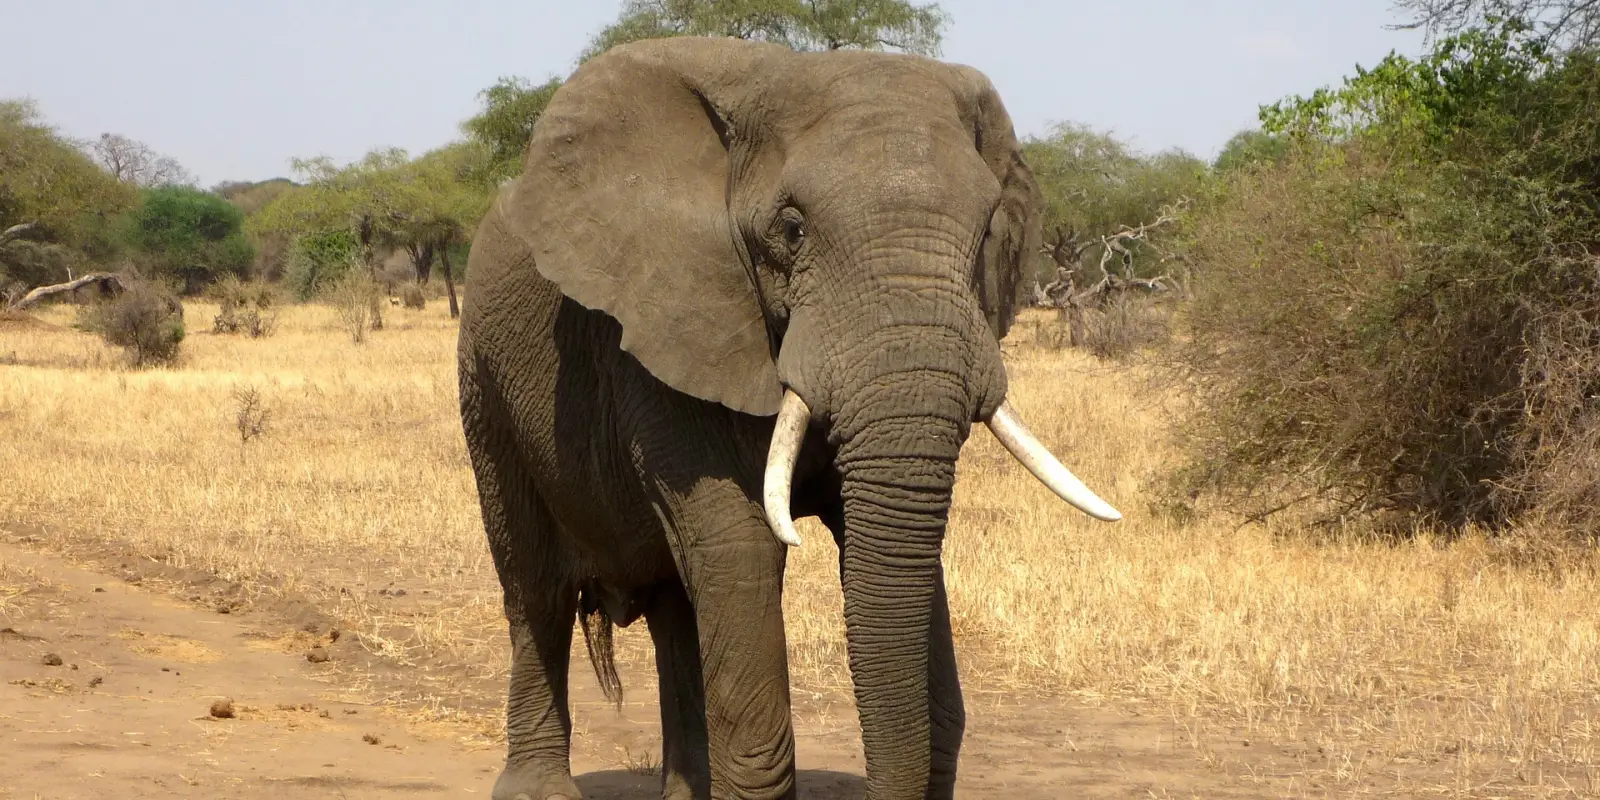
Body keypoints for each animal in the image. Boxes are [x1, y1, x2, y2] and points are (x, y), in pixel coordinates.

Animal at [457, 34, 1120, 796]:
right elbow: (740, 543)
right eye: (793, 229)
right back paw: (539, 787)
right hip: (484, 379)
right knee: (534, 585)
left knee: (676, 607)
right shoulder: (668, 325)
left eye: (987, 233)